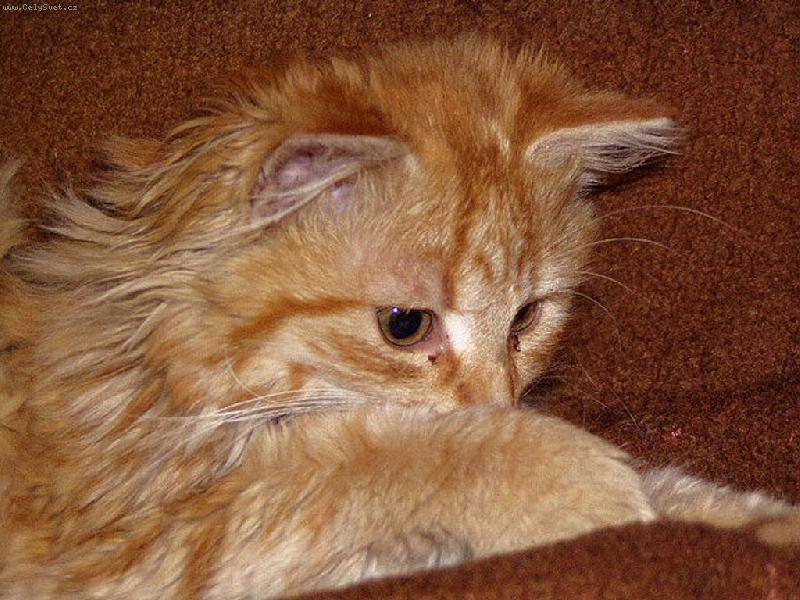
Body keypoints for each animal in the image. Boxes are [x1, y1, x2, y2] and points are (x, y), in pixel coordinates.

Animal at [0, 36, 797, 599]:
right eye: (405, 327)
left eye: (527, 317)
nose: (497, 401)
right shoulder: (131, 542)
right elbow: (369, 460)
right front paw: (581, 482)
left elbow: (680, 491)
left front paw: (761, 526)